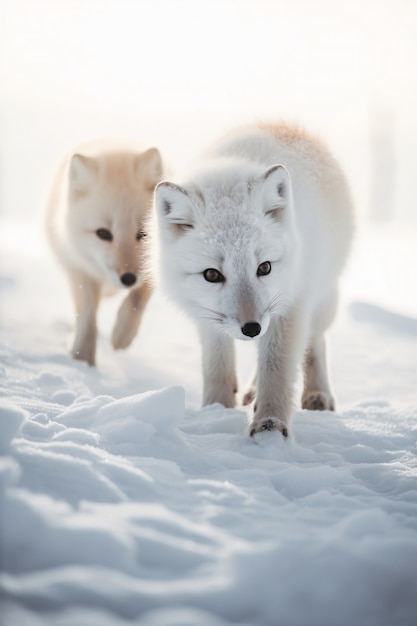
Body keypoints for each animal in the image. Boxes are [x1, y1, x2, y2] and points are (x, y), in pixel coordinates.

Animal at [44, 141, 162, 364]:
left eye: (143, 233)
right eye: (103, 234)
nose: (128, 279)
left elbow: (137, 300)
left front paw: (122, 334)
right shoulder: (79, 268)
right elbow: (88, 315)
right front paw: (82, 360)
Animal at [154, 120, 352, 434]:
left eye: (264, 268)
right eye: (212, 274)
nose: (251, 329)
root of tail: (282, 124)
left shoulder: (291, 307)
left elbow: (277, 370)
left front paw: (270, 426)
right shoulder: (208, 318)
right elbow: (217, 368)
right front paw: (215, 411)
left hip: (320, 299)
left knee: (315, 341)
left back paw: (317, 394)